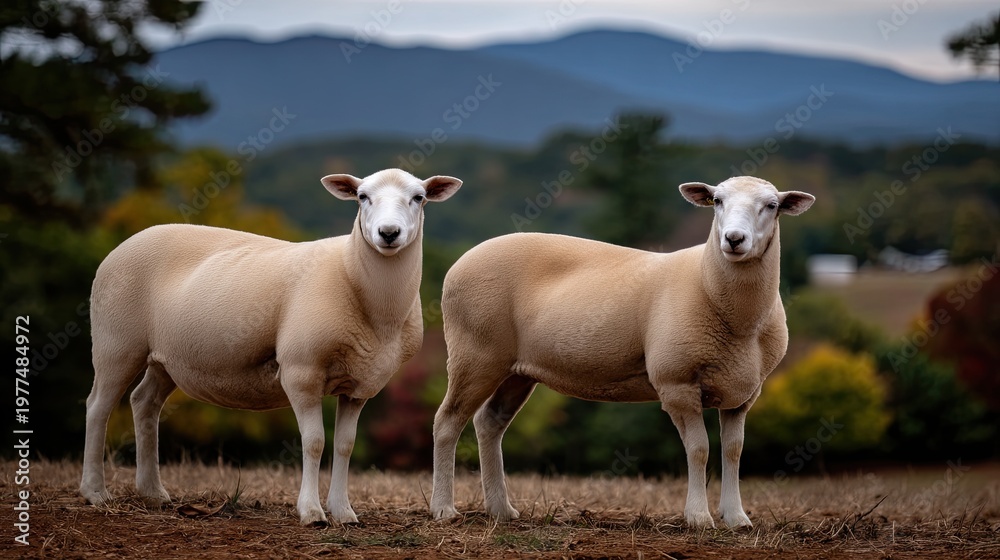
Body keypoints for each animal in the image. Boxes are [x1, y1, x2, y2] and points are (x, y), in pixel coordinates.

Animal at [80, 168, 462, 526]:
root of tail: (126, 242)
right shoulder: (300, 371)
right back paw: (94, 491)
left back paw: (153, 492)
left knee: (144, 402)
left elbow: (345, 445)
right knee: (98, 406)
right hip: (116, 342)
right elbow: (314, 441)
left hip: (166, 359)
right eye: (362, 197)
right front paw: (311, 512)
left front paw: (343, 512)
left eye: (419, 198)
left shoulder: (359, 384)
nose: (388, 233)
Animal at [430, 176, 814, 529]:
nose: (733, 239)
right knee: (447, 422)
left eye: (772, 206)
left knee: (489, 422)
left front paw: (736, 519)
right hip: (474, 353)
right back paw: (443, 509)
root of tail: (461, 262)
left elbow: (734, 451)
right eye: (717, 201)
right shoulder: (677, 383)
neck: (710, 286)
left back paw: (501, 510)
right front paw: (699, 518)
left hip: (516, 370)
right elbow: (699, 449)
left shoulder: (744, 393)